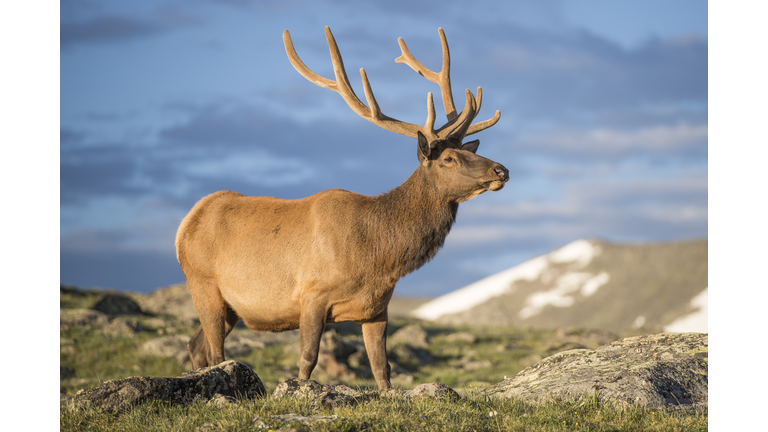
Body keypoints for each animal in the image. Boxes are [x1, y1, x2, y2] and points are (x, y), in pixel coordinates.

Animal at [175, 26, 509, 390]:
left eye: (468, 150)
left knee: (195, 345)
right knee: (216, 351)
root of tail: (186, 223)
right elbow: (307, 360)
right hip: (203, 284)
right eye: (448, 158)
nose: (501, 170)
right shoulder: (311, 295)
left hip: (231, 306)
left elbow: (382, 367)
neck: (378, 257)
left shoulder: (377, 308)